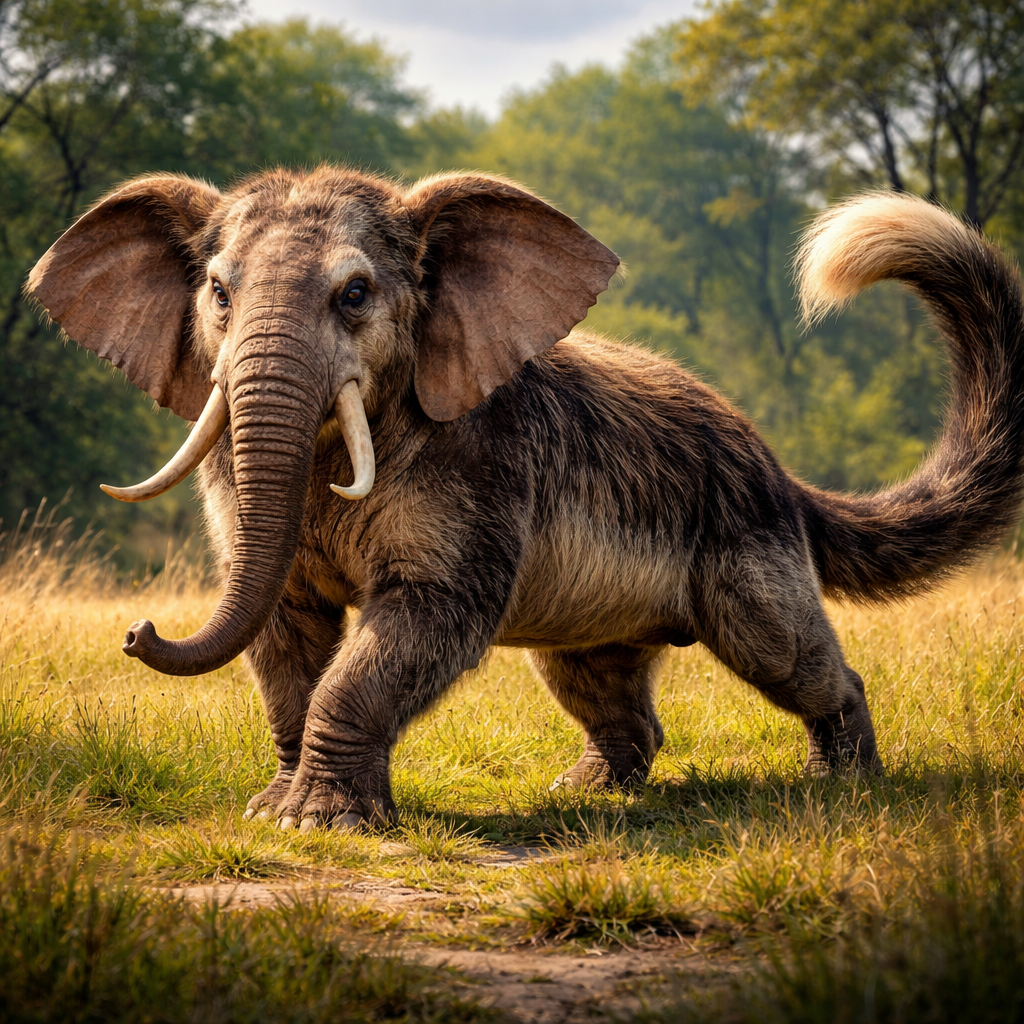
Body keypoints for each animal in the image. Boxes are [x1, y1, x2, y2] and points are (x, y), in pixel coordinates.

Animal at [26, 168, 1024, 830]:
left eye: (358, 293)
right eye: (217, 292)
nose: (137, 631)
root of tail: (773, 462)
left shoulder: (480, 466)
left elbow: (426, 617)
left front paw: (318, 825)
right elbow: (284, 630)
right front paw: (272, 812)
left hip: (749, 543)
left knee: (790, 657)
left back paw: (840, 784)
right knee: (597, 679)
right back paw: (585, 795)